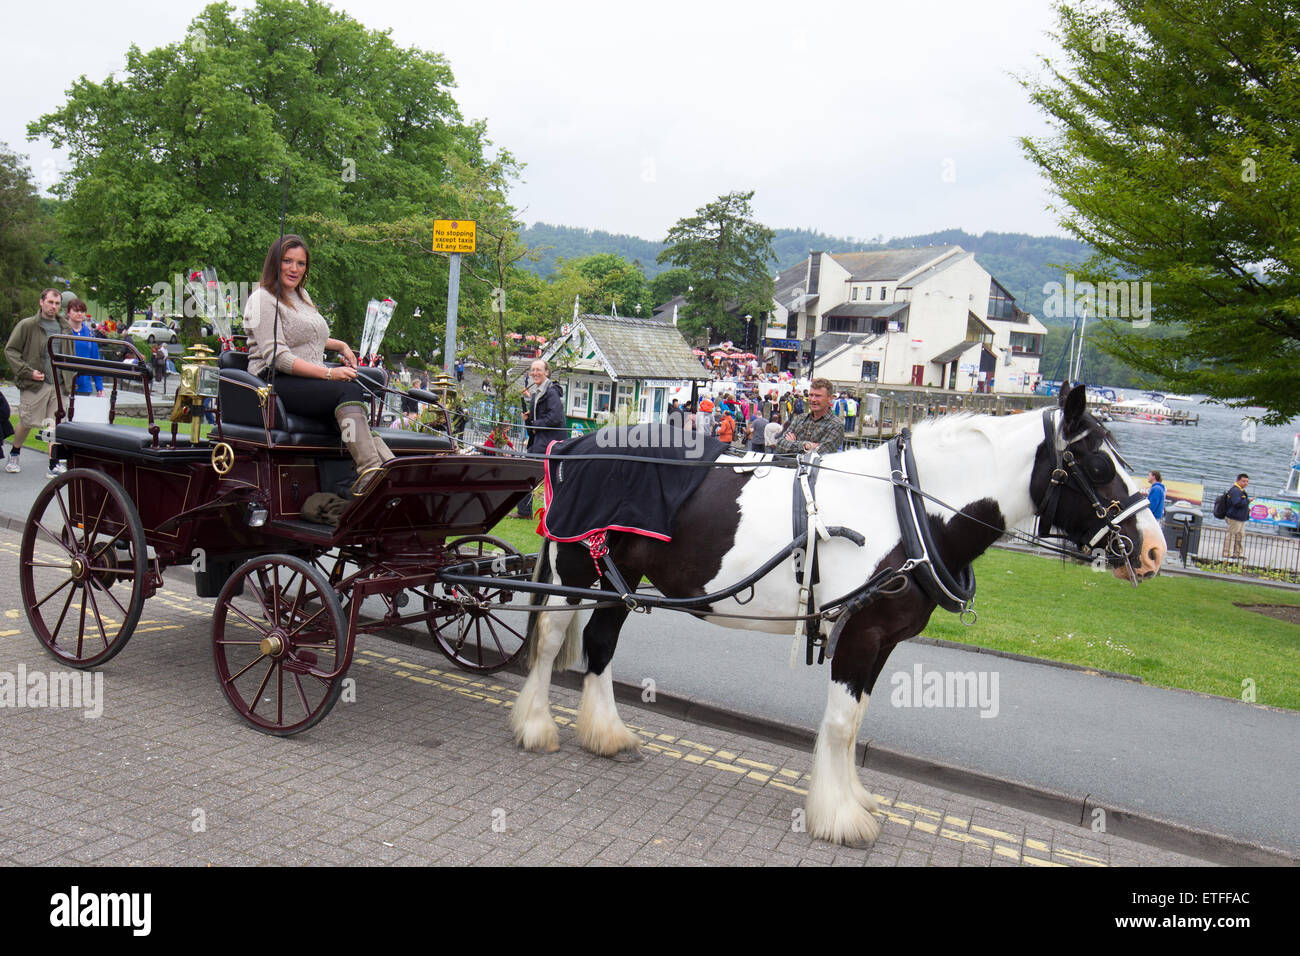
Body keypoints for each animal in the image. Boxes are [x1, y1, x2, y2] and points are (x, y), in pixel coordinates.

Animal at [509, 382, 1170, 842]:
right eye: (1099, 465)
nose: (1154, 549)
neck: (908, 512)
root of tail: (572, 443)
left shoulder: (883, 641)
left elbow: (858, 721)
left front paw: (852, 796)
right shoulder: (860, 632)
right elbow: (841, 723)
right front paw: (838, 815)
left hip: (619, 580)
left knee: (600, 644)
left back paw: (607, 734)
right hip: (576, 573)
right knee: (550, 640)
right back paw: (536, 727)